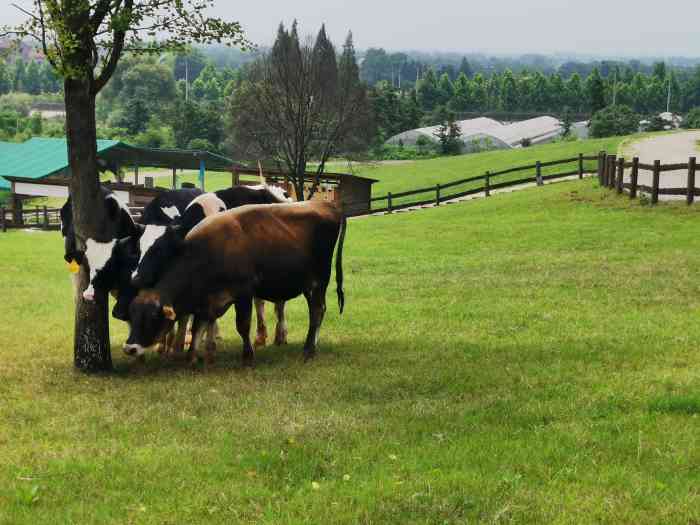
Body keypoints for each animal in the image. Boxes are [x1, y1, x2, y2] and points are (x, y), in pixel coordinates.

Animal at [125, 201, 348, 364]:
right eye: (132, 317)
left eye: (151, 318)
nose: (129, 348)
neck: (207, 254)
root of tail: (327, 205)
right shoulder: (205, 302)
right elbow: (197, 328)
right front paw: (191, 357)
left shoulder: (243, 294)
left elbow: (242, 325)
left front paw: (247, 355)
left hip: (317, 282)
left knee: (317, 311)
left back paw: (308, 350)